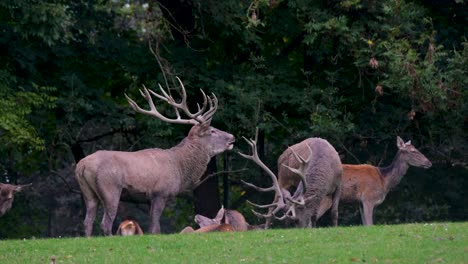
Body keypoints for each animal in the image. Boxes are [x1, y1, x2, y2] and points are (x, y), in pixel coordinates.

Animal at [75, 77, 236, 236]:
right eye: (212, 130)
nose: (232, 137)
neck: (180, 167)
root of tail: (81, 166)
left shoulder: (148, 199)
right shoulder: (160, 193)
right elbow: (155, 228)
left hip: (88, 193)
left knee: (87, 222)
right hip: (110, 188)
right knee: (105, 223)